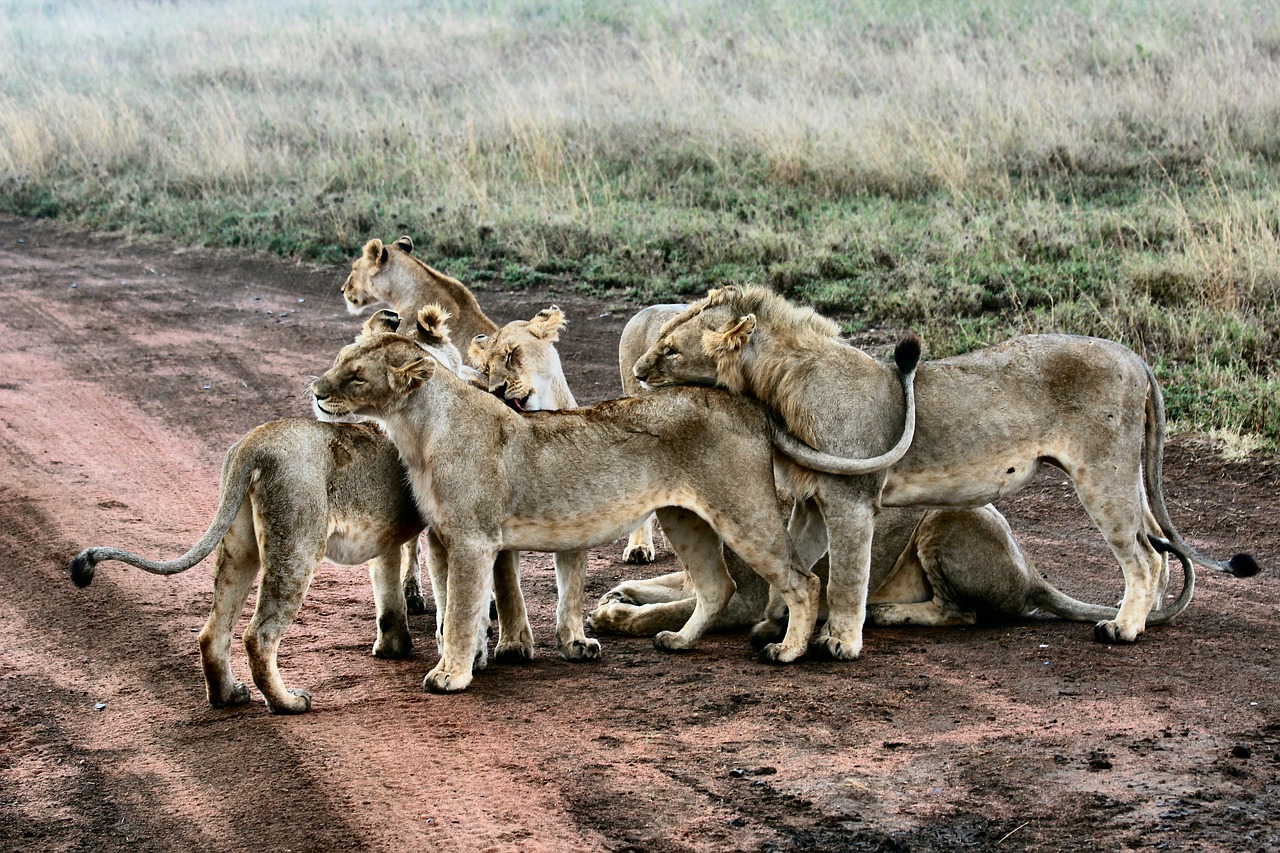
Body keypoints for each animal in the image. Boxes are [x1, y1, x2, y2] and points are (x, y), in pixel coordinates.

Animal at [634, 285, 1254, 655]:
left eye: (670, 350)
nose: (638, 372)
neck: (775, 384)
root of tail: (1134, 357)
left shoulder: (851, 499)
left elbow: (846, 577)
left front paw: (839, 643)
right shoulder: (813, 502)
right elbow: (801, 568)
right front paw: (782, 627)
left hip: (1103, 475)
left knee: (1145, 557)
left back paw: (1125, 629)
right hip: (1123, 478)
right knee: (1159, 553)